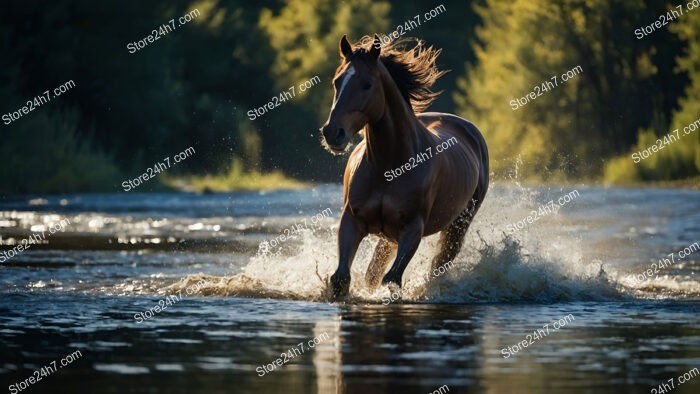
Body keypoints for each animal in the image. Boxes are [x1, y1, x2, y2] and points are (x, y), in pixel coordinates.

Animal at [320, 34, 490, 298]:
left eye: (367, 84)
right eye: (337, 81)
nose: (332, 133)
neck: (389, 167)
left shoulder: (412, 229)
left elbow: (392, 279)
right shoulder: (352, 220)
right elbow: (341, 278)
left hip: (457, 226)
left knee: (439, 264)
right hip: (388, 236)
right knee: (373, 270)